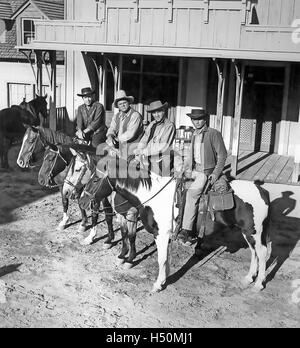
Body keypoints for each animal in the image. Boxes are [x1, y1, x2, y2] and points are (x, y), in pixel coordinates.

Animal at [81, 155, 270, 294]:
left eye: (96, 179)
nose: (82, 200)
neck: (152, 195)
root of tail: (262, 190)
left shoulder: (161, 234)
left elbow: (161, 258)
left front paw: (158, 284)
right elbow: (163, 258)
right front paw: (163, 278)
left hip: (254, 231)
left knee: (262, 252)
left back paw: (259, 283)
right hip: (247, 232)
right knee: (254, 252)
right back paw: (249, 277)